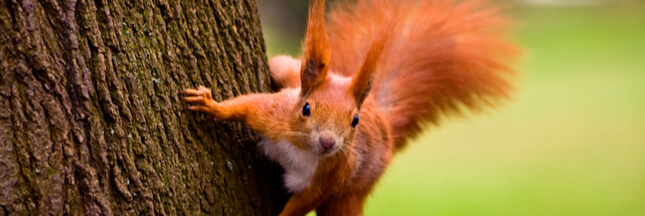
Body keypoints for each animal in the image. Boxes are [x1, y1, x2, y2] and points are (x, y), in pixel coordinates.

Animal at [179, 0, 516, 215]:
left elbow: (302, 204)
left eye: (354, 120)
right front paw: (210, 104)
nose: (328, 142)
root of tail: (383, 122)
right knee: (282, 67)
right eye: (306, 109)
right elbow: (245, 106)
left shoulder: (330, 179)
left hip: (350, 195)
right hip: (287, 71)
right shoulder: (274, 116)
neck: (303, 150)